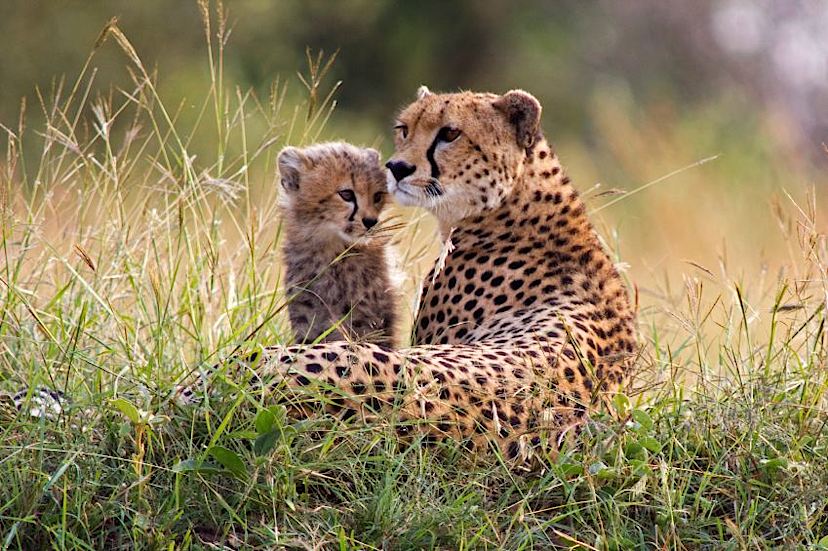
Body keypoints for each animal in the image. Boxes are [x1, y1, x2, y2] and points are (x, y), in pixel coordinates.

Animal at [278, 142, 400, 348]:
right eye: (346, 194)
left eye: (377, 196)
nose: (371, 221)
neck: (331, 251)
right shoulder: (307, 319)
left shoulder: (367, 322)